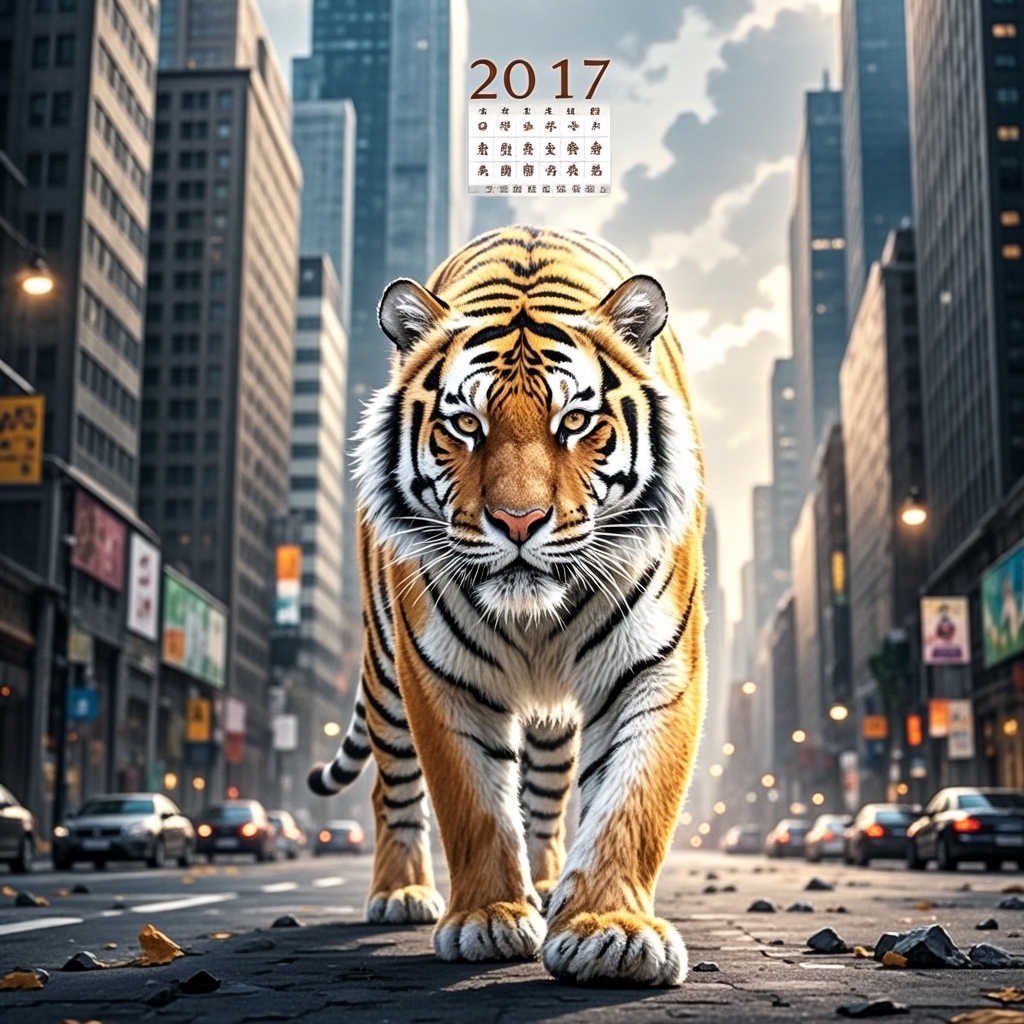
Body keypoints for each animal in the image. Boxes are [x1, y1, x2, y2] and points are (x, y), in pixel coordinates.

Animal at [307, 225, 705, 986]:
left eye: (575, 421)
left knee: (546, 797)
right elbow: (474, 805)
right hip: (384, 675)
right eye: (465, 425)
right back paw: (401, 893)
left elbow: (628, 803)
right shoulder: (439, 676)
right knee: (392, 788)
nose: (518, 522)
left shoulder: (656, 668)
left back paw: (549, 884)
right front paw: (489, 918)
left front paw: (609, 930)